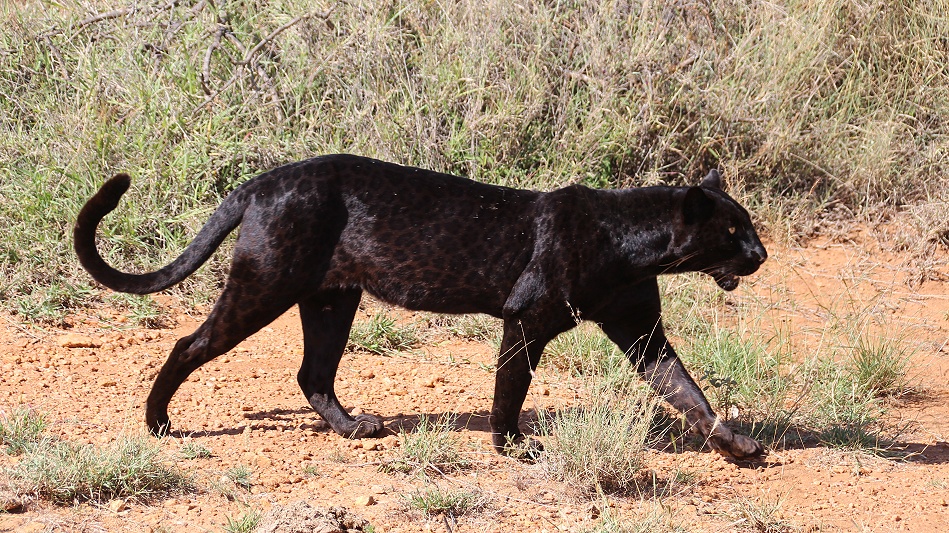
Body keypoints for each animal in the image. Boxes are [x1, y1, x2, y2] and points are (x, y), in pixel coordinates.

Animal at [74, 154, 768, 459]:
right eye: (733, 231)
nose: (761, 254)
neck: (637, 245)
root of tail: (264, 180)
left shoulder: (641, 330)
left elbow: (687, 390)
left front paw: (737, 444)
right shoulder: (526, 317)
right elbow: (511, 386)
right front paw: (512, 446)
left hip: (331, 300)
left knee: (313, 372)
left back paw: (356, 429)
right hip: (265, 285)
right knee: (189, 344)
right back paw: (158, 424)